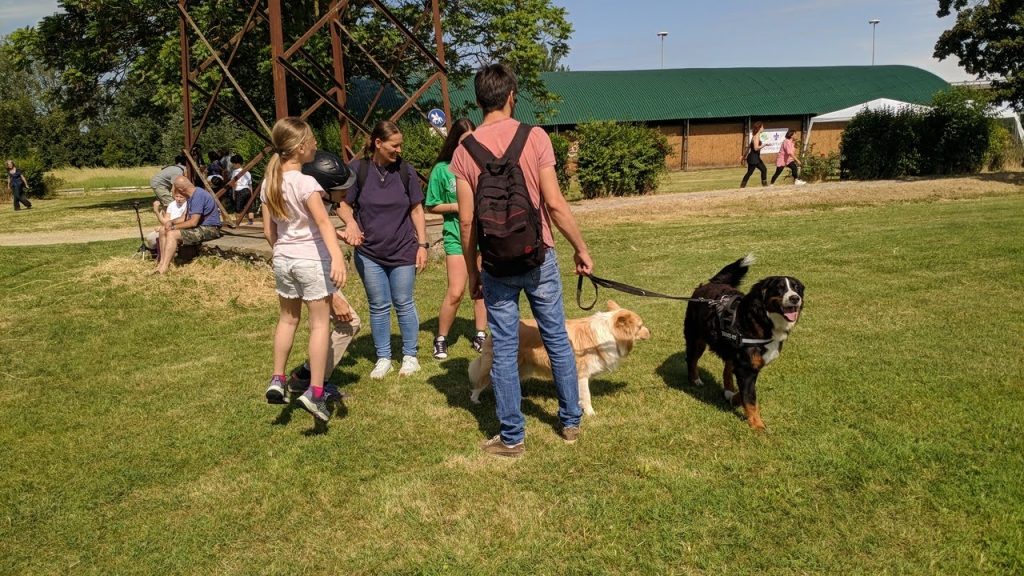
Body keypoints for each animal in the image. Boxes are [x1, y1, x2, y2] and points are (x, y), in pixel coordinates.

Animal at [468, 297, 651, 414]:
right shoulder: (581, 374)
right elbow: (587, 396)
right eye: (640, 326)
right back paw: (475, 400)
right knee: (481, 382)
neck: (610, 332)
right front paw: (591, 414)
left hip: (523, 366)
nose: (651, 332)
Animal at [684, 253, 802, 428]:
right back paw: (695, 380)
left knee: (726, 369)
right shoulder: (746, 369)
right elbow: (751, 399)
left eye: (796, 288)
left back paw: (728, 391)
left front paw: (733, 398)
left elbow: (746, 394)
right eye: (779, 288)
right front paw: (757, 426)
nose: (795, 298)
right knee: (691, 360)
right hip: (696, 340)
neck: (762, 320)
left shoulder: (751, 365)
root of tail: (708, 285)